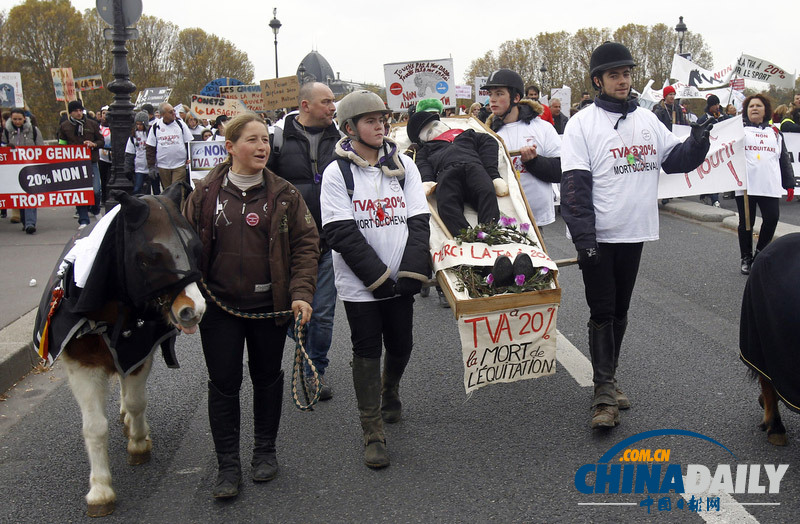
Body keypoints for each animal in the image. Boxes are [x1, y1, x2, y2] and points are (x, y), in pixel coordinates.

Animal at [32, 183, 206, 516]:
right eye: (150, 257)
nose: (195, 309)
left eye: (195, 247)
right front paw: (100, 489)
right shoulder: (82, 366)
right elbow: (94, 427)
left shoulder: (138, 355)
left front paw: (138, 443)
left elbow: (137, 402)